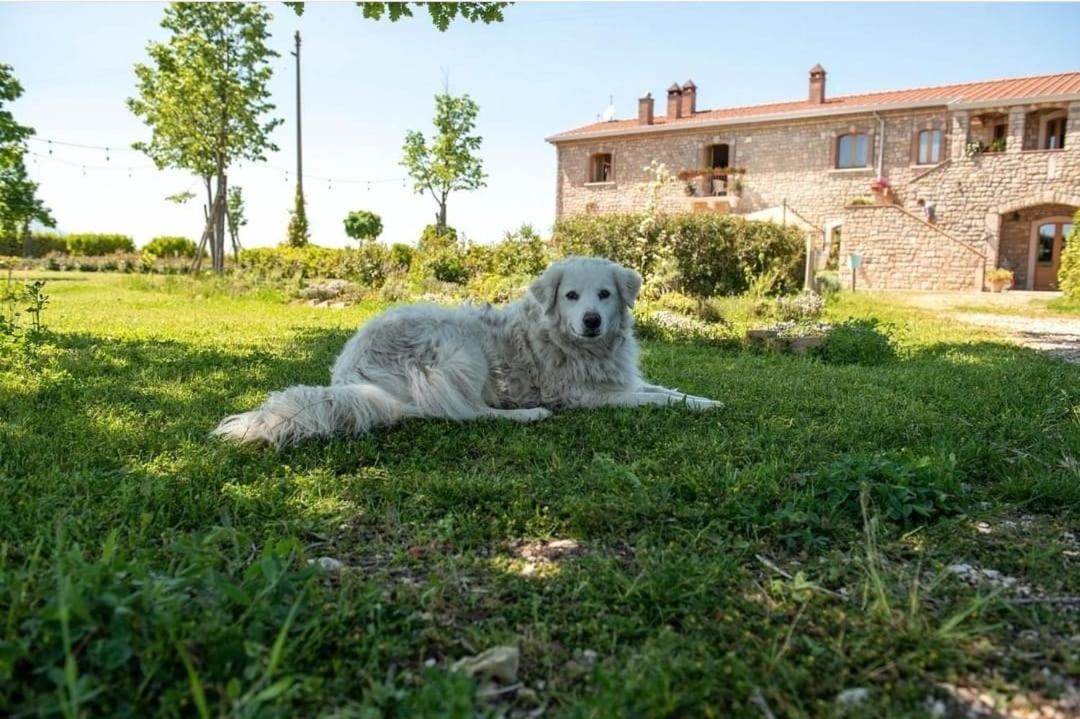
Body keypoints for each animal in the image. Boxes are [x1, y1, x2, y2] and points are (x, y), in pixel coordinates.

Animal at [213, 254, 721, 444]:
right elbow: (649, 399)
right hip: (459, 350)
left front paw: (704, 400)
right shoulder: (587, 396)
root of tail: (350, 375)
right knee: (465, 413)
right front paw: (696, 405)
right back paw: (528, 414)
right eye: (571, 296)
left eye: (605, 294)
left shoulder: (619, 379)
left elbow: (664, 390)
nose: (591, 321)